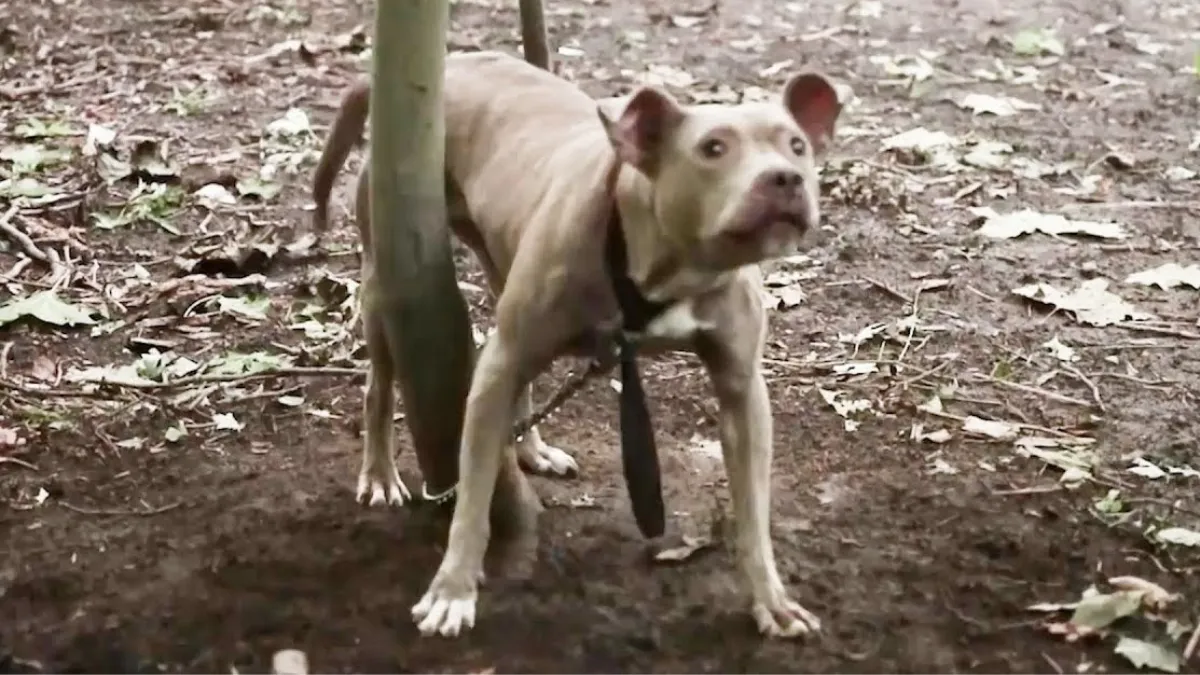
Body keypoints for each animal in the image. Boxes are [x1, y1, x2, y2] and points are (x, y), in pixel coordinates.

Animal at [309, 49, 844, 638]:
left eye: (795, 145)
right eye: (713, 148)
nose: (785, 178)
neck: (658, 268)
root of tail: (456, 63)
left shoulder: (742, 392)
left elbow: (753, 515)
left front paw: (771, 600)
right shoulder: (497, 367)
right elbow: (472, 499)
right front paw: (452, 590)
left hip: (502, 271)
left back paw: (532, 449)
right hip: (384, 282)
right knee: (379, 387)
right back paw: (380, 474)